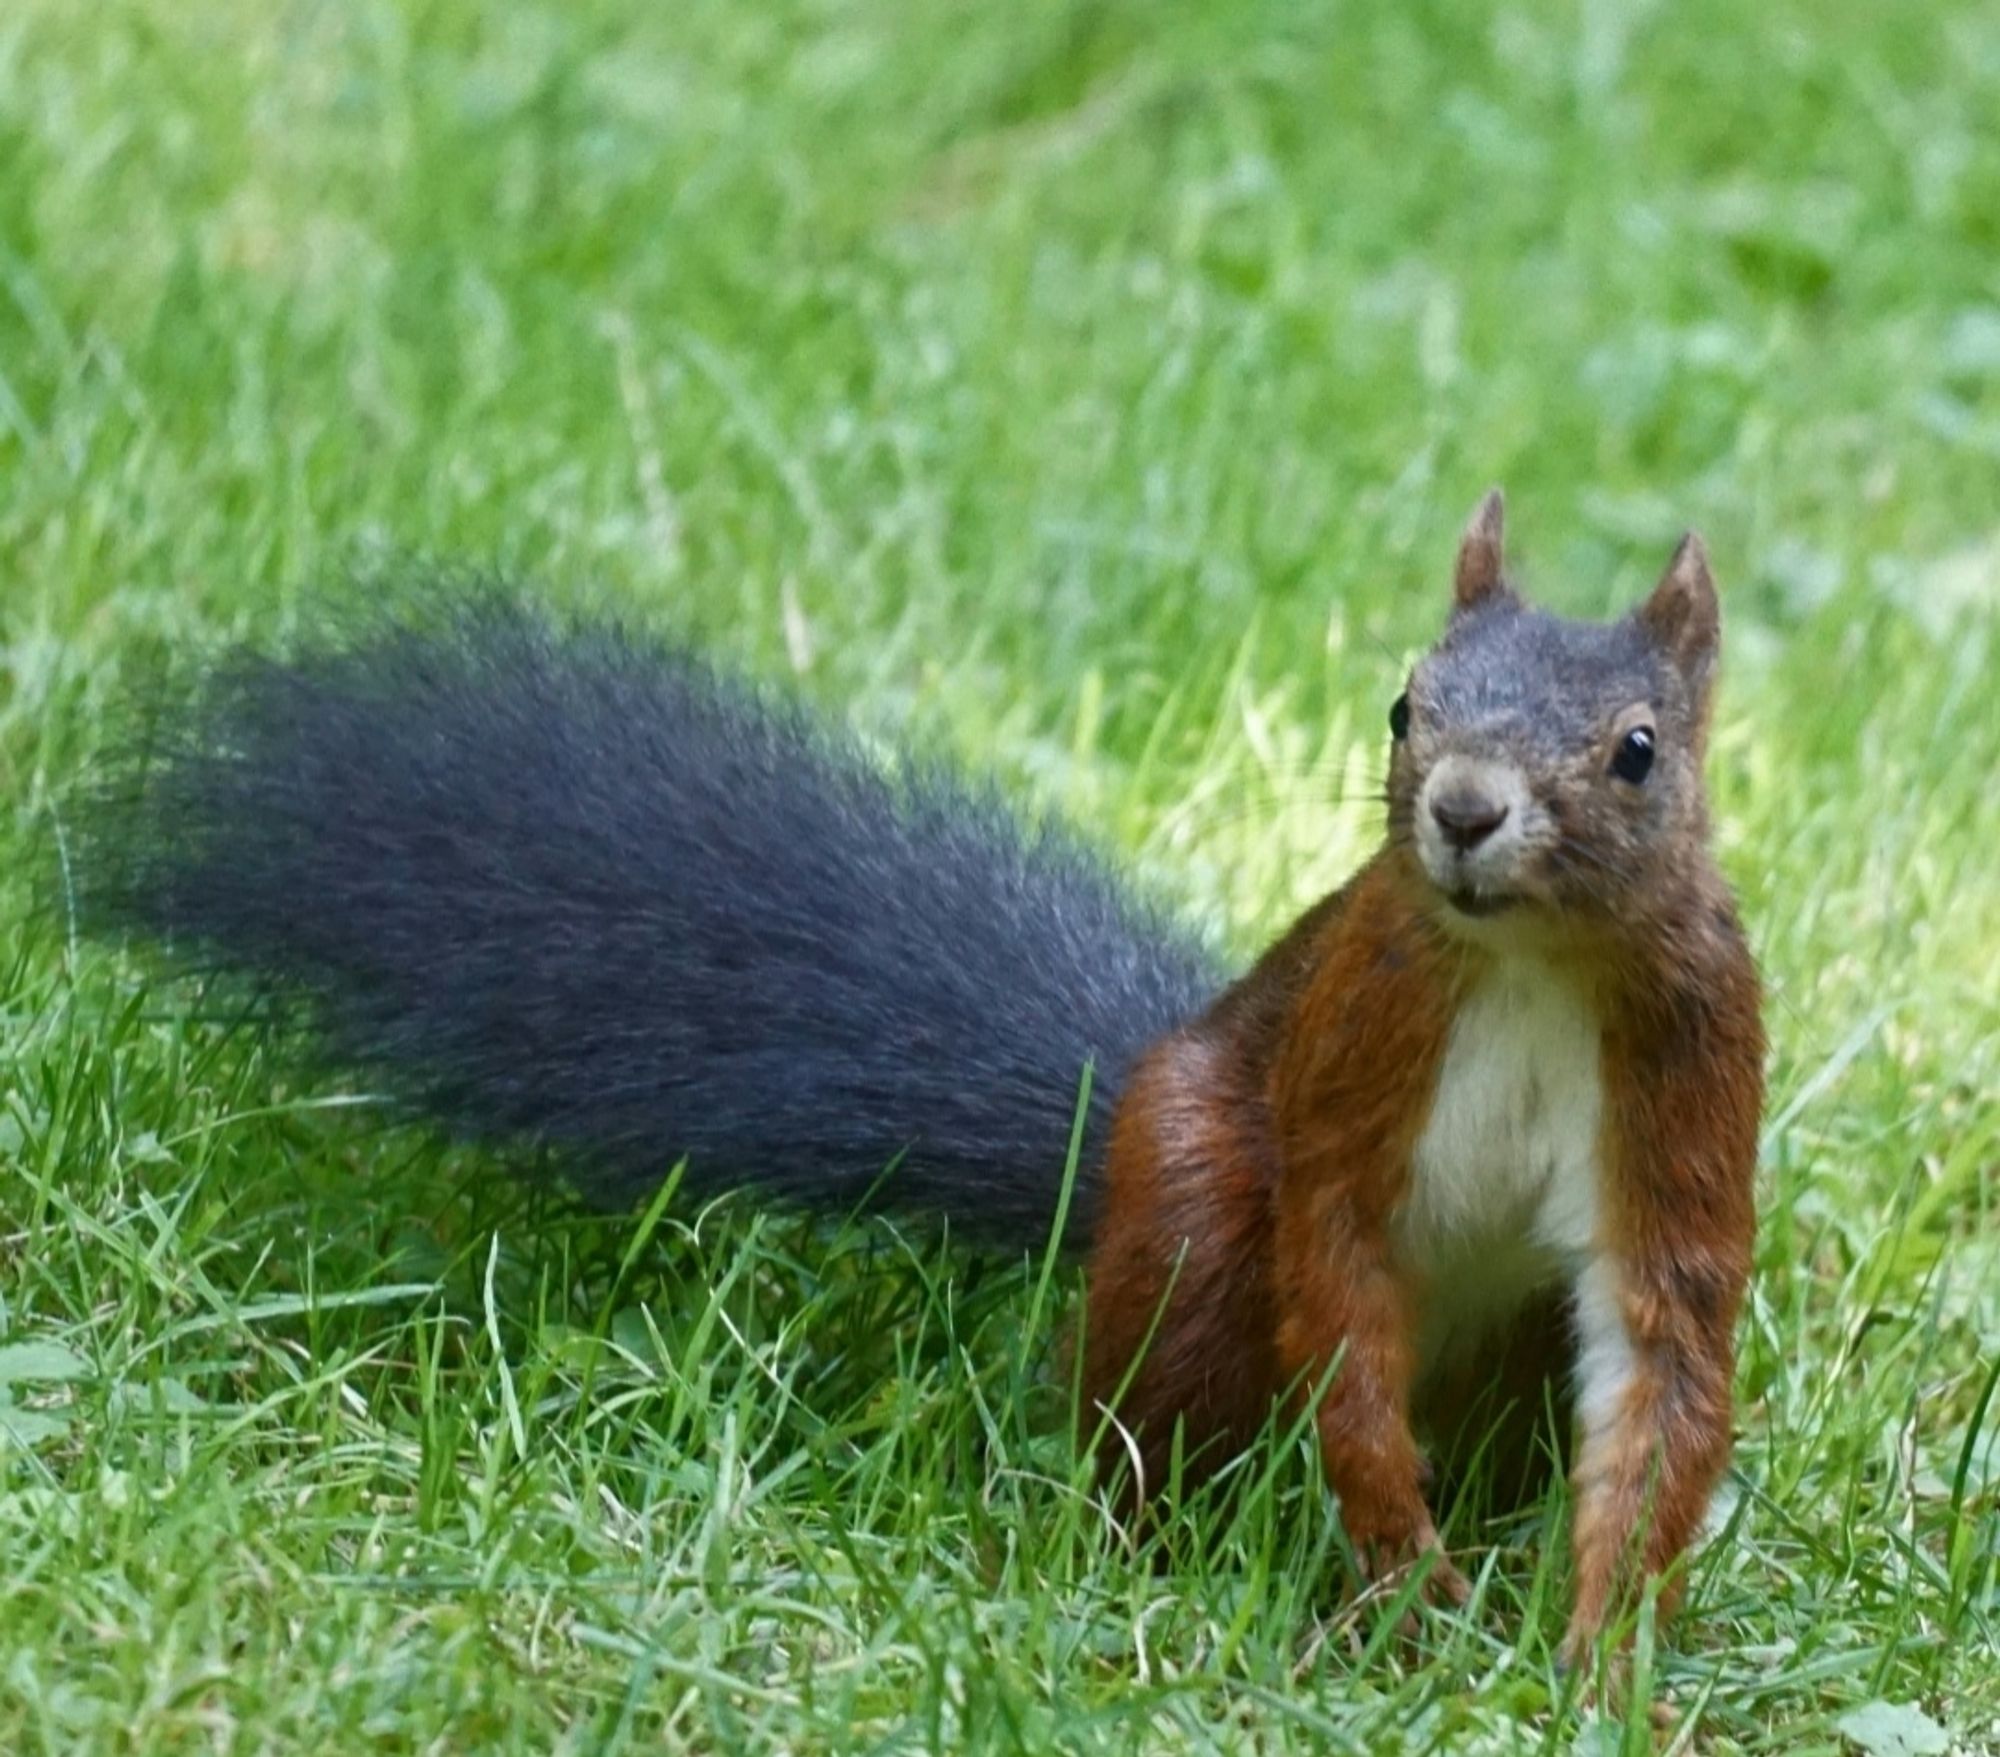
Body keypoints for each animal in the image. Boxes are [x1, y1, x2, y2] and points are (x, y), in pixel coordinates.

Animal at [86, 492, 1760, 1664]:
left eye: (1637, 750)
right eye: (1405, 704)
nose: (1465, 810)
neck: (1525, 960)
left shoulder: (1694, 1063)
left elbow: (1663, 1358)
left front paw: (1598, 1661)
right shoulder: (1360, 1036)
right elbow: (1335, 1269)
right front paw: (1408, 1587)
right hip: (1192, 1198)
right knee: (1163, 1396)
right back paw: (1148, 1564)